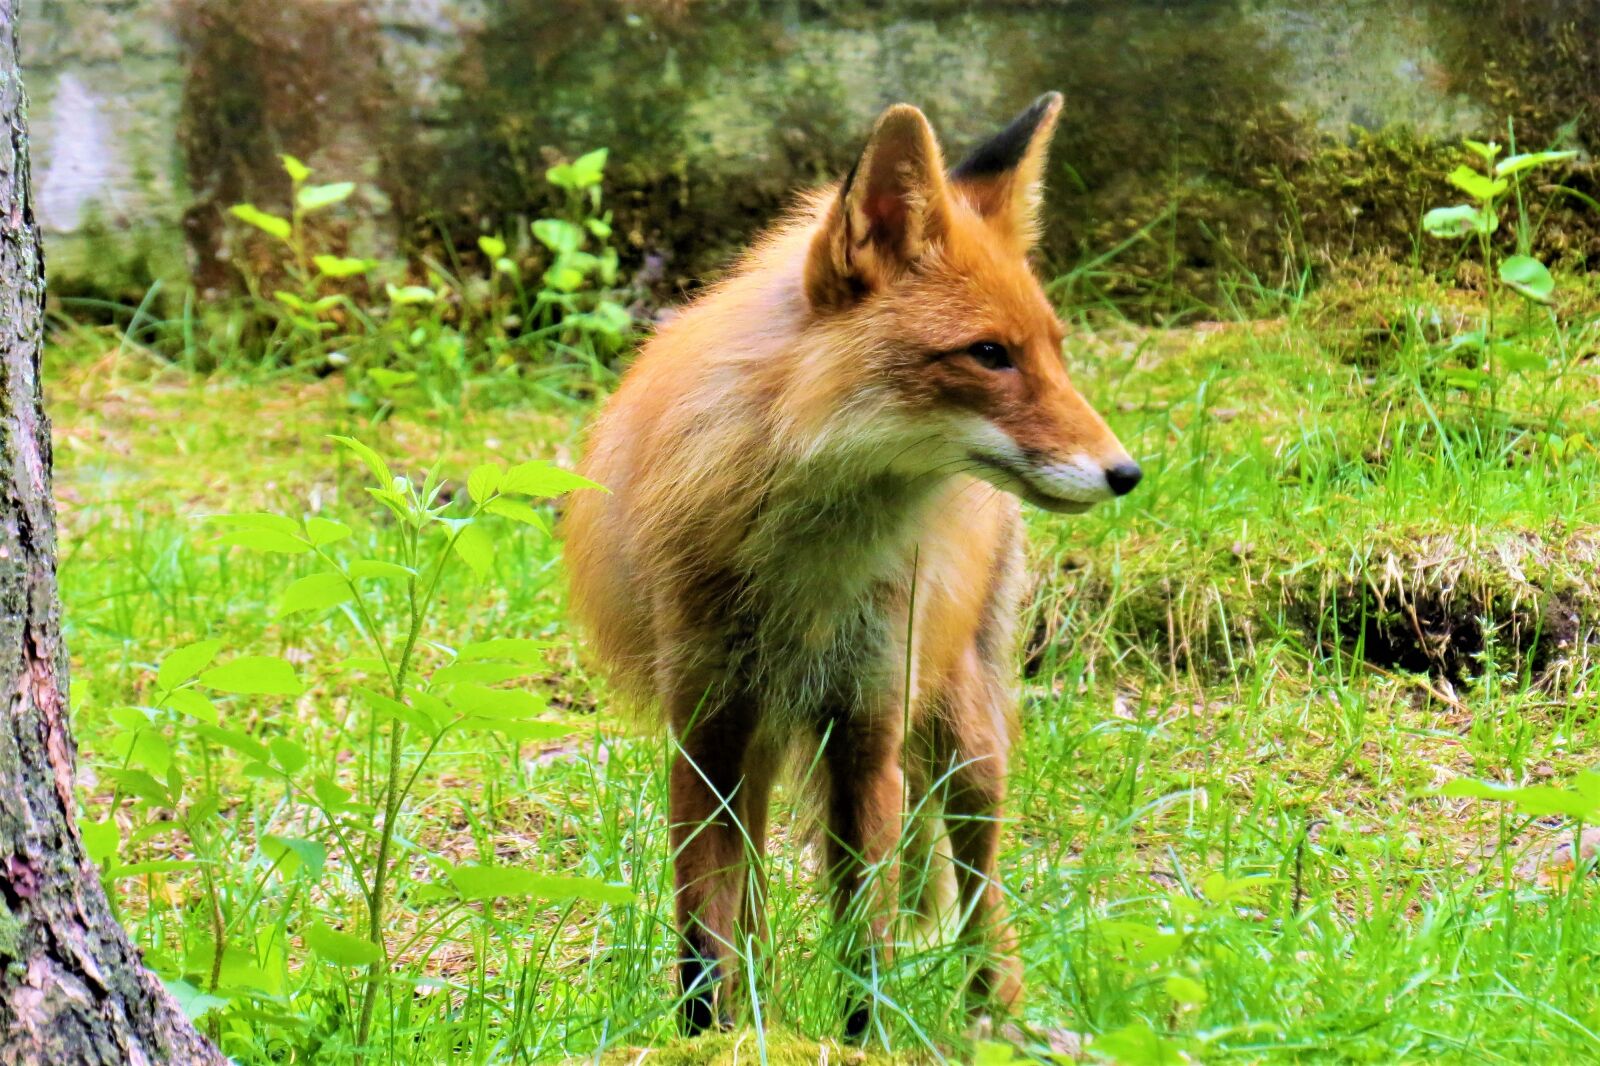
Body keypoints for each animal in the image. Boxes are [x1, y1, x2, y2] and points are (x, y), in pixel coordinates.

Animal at [566, 95, 1139, 1030]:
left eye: (1055, 348)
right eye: (990, 354)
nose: (1126, 472)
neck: (809, 571)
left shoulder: (866, 729)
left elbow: (866, 947)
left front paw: (868, 1038)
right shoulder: (707, 728)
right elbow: (702, 941)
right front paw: (711, 1037)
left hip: (961, 728)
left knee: (979, 880)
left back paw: (997, 1015)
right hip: (767, 741)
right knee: (753, 896)